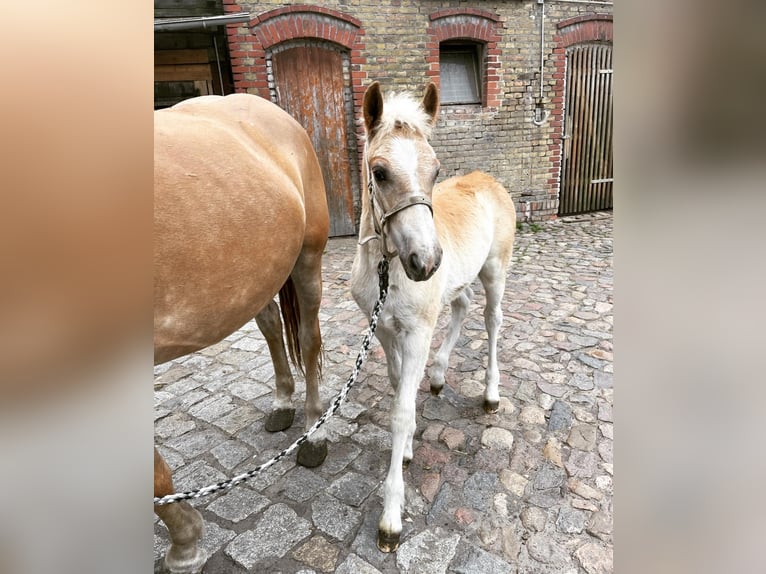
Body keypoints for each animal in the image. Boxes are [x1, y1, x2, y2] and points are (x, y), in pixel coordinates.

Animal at [154, 94, 328, 574]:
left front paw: (184, 546)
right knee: (271, 324)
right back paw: (282, 402)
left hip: (307, 256)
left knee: (308, 340)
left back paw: (314, 431)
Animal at [352, 82, 520, 552]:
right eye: (379, 172)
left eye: (436, 169)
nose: (425, 262)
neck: (386, 268)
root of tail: (489, 180)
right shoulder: (385, 331)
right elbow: (398, 390)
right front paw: (408, 447)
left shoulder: (417, 333)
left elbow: (401, 411)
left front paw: (391, 518)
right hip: (460, 280)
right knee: (462, 307)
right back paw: (441, 374)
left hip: (495, 271)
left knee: (493, 321)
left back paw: (490, 394)